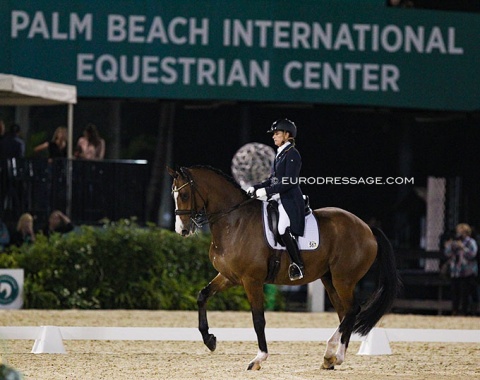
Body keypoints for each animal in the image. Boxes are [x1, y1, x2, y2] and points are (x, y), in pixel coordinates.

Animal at [169, 165, 402, 370]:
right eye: (174, 195)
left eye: (184, 195)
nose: (182, 230)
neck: (234, 221)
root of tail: (367, 228)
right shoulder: (229, 276)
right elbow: (202, 295)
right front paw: (210, 340)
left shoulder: (251, 280)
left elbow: (258, 319)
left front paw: (259, 359)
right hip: (330, 280)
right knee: (345, 313)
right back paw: (333, 358)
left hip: (343, 279)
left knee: (353, 310)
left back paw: (332, 353)